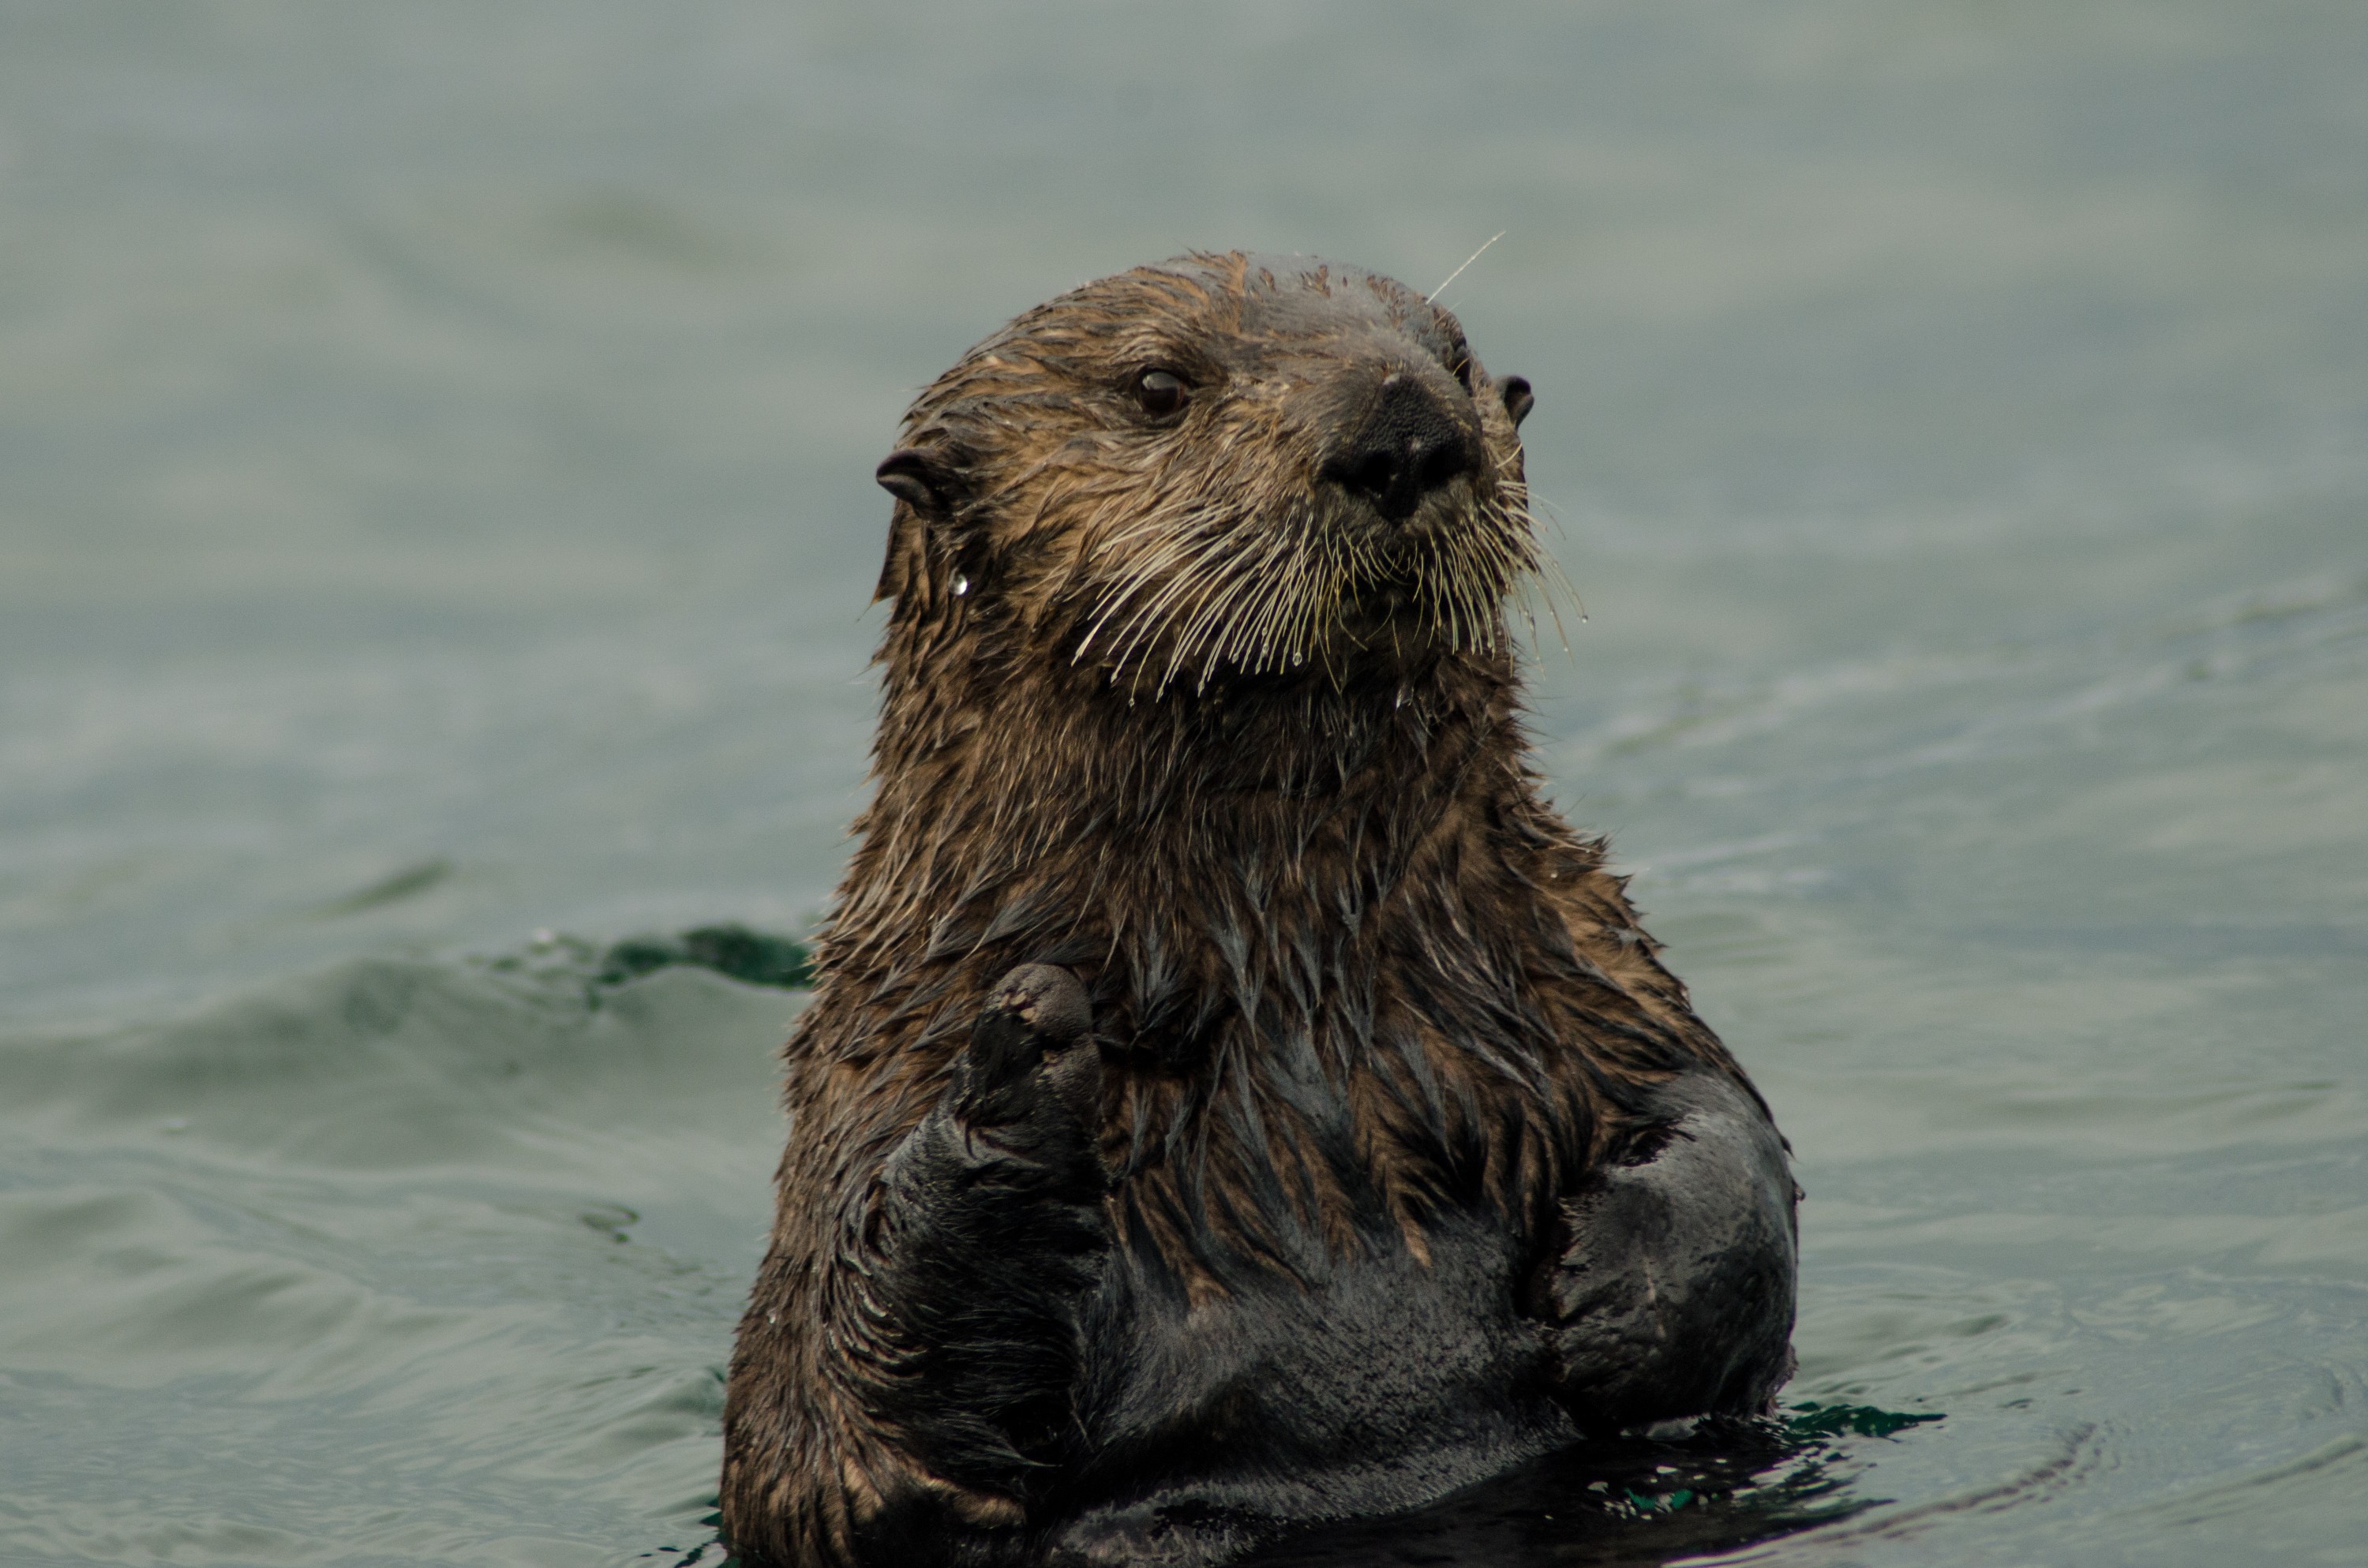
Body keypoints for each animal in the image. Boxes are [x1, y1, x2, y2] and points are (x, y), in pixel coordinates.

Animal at [721, 253, 1796, 1567]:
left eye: (1453, 354)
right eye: (1156, 385)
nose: (1401, 426)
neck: (1296, 993)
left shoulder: (1585, 960)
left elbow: (1729, 1127)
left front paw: (1619, 1292)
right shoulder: (868, 1092)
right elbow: (820, 1441)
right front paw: (1027, 1064)